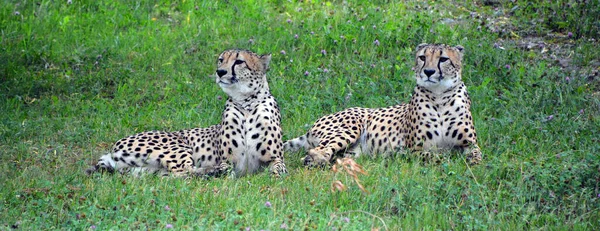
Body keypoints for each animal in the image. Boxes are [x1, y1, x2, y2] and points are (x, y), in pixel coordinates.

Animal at [86, 49, 288, 177]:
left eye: (239, 61)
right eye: (221, 60)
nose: (220, 72)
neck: (246, 103)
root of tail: (115, 145)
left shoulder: (275, 158)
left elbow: (278, 170)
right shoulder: (228, 161)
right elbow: (227, 170)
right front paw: (221, 172)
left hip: (149, 170)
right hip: (176, 146)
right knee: (185, 172)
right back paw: (212, 172)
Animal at [284, 43, 482, 166]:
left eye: (443, 59)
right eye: (422, 57)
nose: (428, 72)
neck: (439, 96)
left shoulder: (470, 144)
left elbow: (478, 155)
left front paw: (472, 163)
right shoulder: (415, 149)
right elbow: (436, 156)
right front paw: (450, 159)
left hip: (353, 153)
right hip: (349, 129)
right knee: (317, 151)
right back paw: (315, 159)